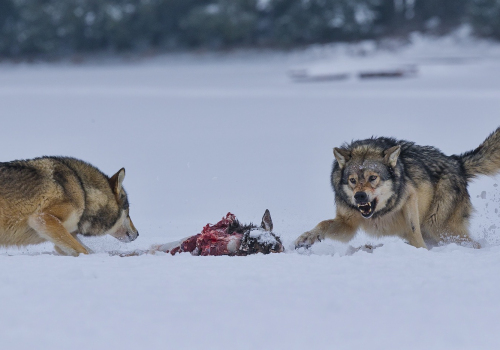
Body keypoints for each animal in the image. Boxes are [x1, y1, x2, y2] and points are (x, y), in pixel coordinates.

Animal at [0, 157, 139, 256]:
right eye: (128, 212)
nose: (137, 234)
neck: (83, 193)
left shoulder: (66, 234)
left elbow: (89, 251)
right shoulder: (42, 219)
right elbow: (84, 251)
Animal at [294, 127, 500, 250]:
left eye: (373, 178)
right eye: (352, 180)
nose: (359, 196)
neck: (378, 213)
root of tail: (457, 162)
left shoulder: (410, 197)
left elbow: (413, 230)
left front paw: (421, 252)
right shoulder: (347, 224)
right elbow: (323, 223)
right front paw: (306, 237)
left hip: (440, 228)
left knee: (473, 244)